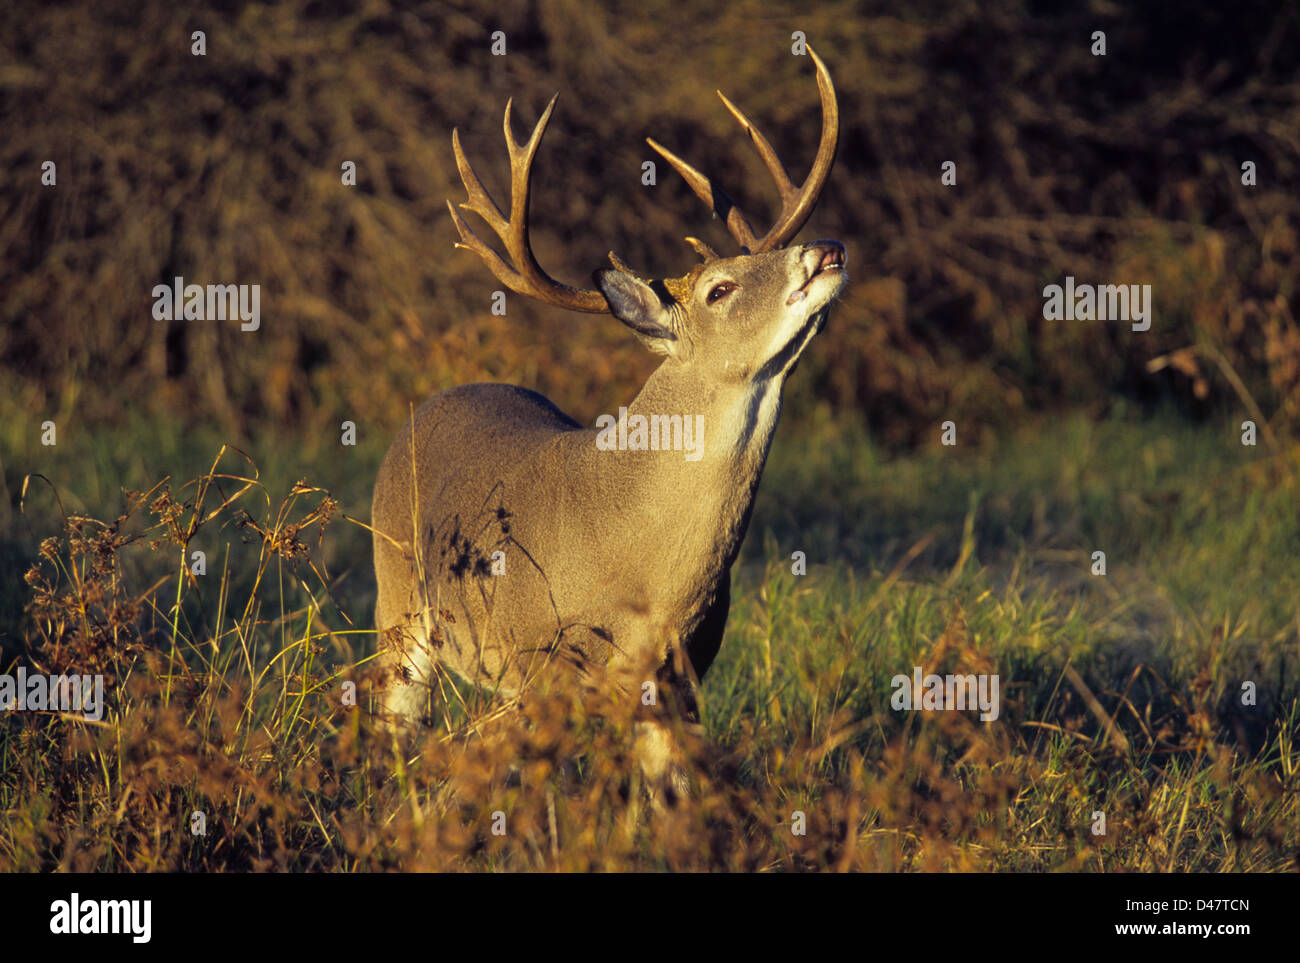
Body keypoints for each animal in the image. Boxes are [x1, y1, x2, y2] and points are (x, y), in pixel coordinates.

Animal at [371, 48, 847, 790]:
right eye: (720, 289)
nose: (824, 248)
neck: (648, 573)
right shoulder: (539, 667)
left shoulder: (680, 682)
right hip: (397, 605)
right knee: (396, 728)